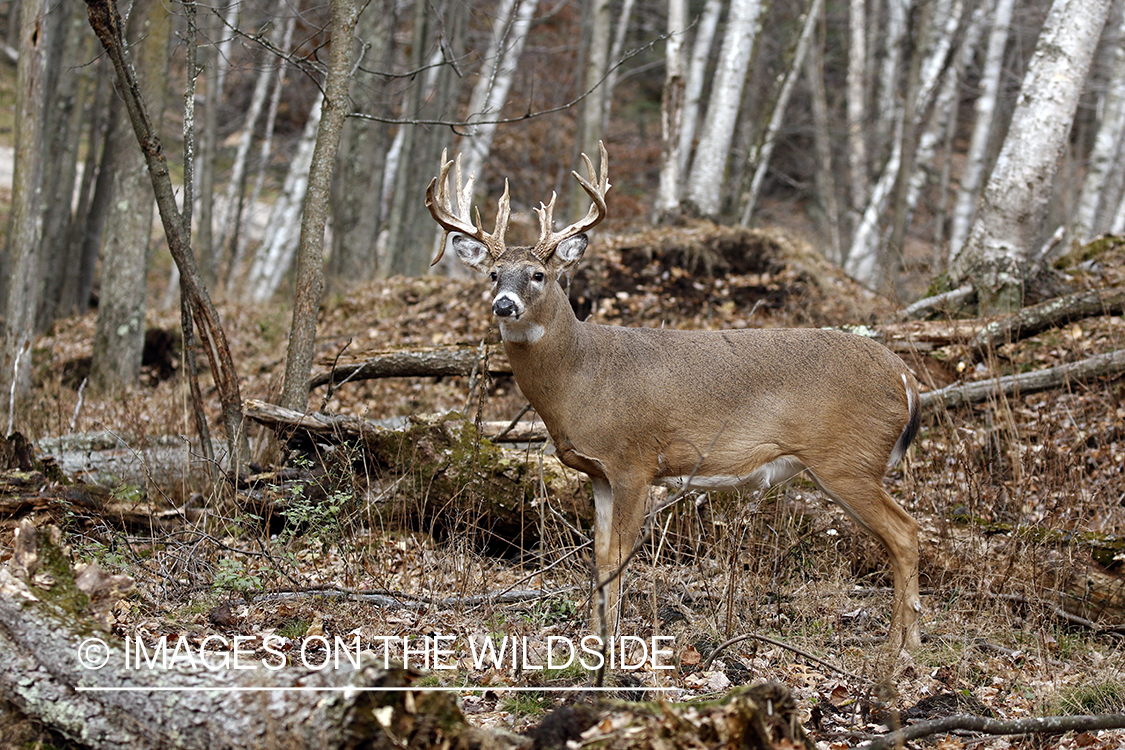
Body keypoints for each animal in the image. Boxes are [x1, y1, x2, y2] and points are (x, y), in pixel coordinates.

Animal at [425, 143, 927, 652]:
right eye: (493, 274)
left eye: (538, 274)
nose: (504, 304)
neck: (580, 379)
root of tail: (905, 376)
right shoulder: (599, 473)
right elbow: (599, 557)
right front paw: (592, 637)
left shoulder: (634, 460)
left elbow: (620, 556)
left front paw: (612, 641)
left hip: (847, 458)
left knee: (906, 532)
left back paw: (900, 648)